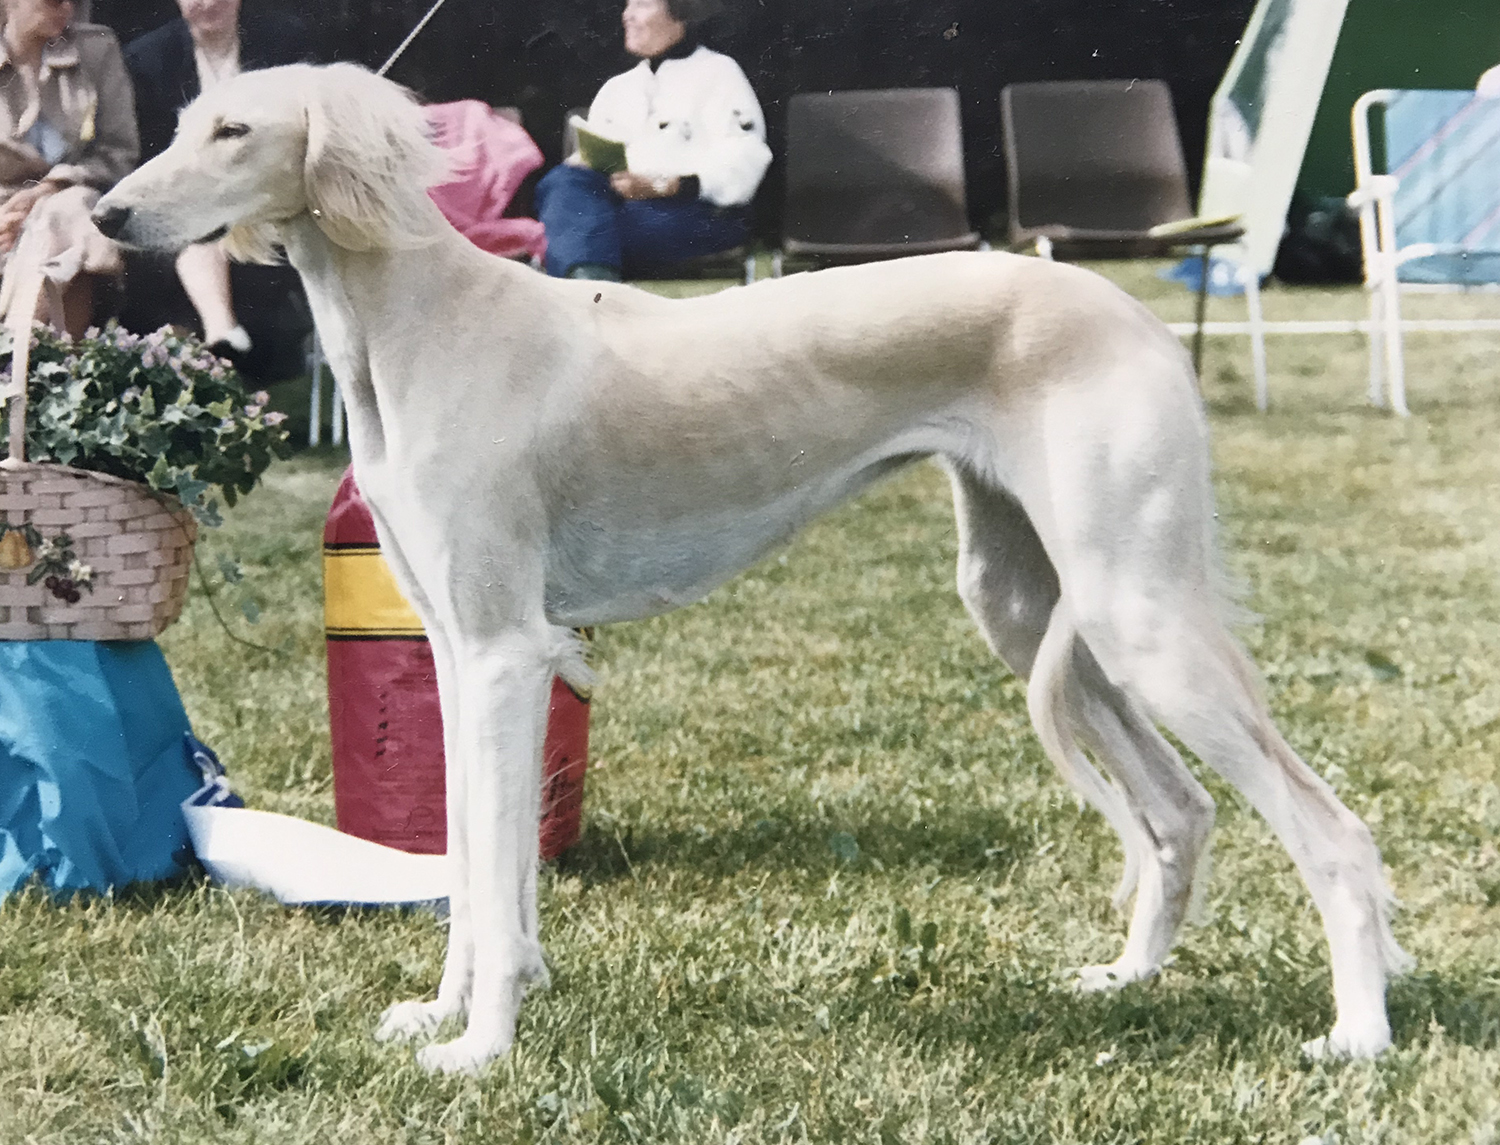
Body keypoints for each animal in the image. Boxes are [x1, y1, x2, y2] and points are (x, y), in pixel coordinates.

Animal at [90, 64, 1404, 1074]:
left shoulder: (510, 652)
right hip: (1032, 605)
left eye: (233, 130)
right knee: (1180, 809)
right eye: (179, 123)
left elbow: (498, 877)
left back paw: (1357, 1036)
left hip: (1138, 613)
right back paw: (1128, 979)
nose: (103, 217)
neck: (420, 321)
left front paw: (482, 1049)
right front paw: (444, 1009)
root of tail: (1132, 313)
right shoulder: (462, 656)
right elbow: (468, 860)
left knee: (1332, 831)